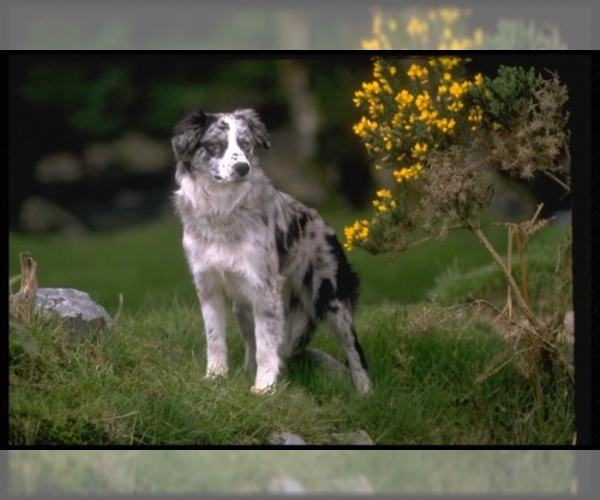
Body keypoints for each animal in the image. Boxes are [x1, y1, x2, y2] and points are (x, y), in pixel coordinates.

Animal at [171, 109, 372, 394]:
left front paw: (264, 388)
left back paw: (365, 391)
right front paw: (215, 378)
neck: (222, 212)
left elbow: (266, 345)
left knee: (354, 350)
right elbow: (215, 338)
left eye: (245, 144)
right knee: (251, 342)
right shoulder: (208, 286)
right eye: (216, 145)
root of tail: (325, 225)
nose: (242, 168)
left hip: (331, 300)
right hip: (243, 308)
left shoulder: (264, 288)